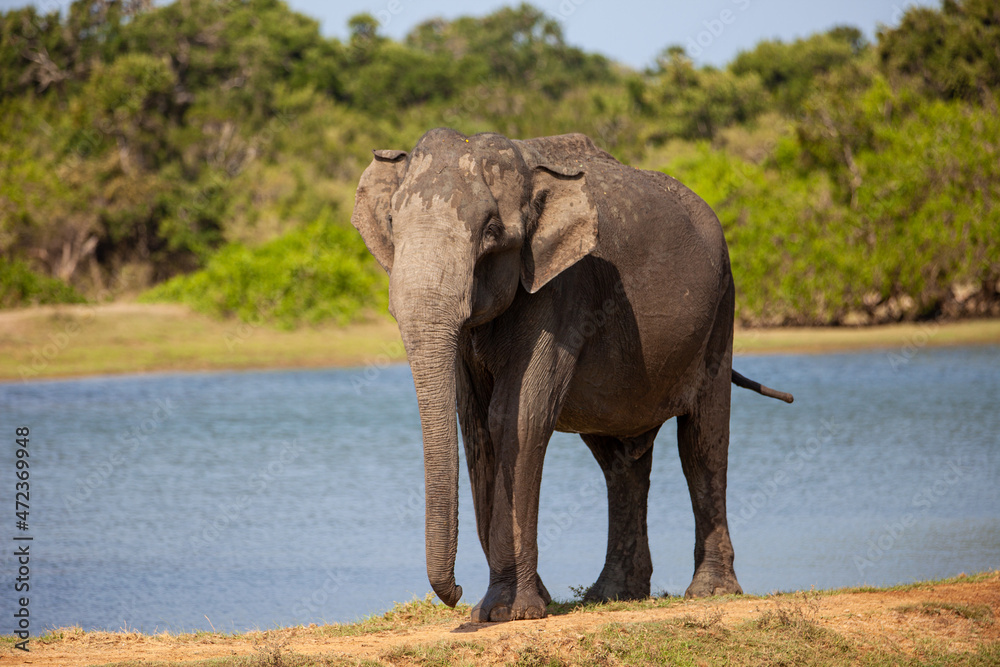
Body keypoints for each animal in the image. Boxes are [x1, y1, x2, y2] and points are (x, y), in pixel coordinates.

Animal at [351, 128, 793, 623]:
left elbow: (517, 418)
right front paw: (514, 606)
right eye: (392, 222)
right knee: (619, 459)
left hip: (722, 303)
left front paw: (509, 612)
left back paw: (710, 592)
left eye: (491, 232)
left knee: (703, 440)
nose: (457, 590)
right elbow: (478, 429)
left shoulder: (563, 290)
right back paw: (612, 594)